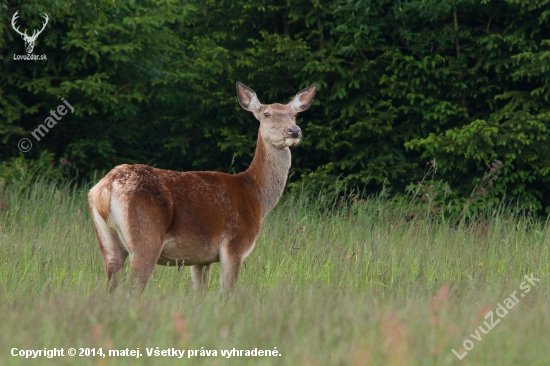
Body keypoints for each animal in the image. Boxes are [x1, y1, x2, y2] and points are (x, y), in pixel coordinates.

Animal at [87, 82, 320, 292]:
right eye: (267, 114)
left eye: (294, 115)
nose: (294, 131)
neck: (256, 195)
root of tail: (105, 188)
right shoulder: (234, 244)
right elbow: (227, 293)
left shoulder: (200, 257)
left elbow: (200, 293)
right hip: (146, 236)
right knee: (132, 288)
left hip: (108, 242)